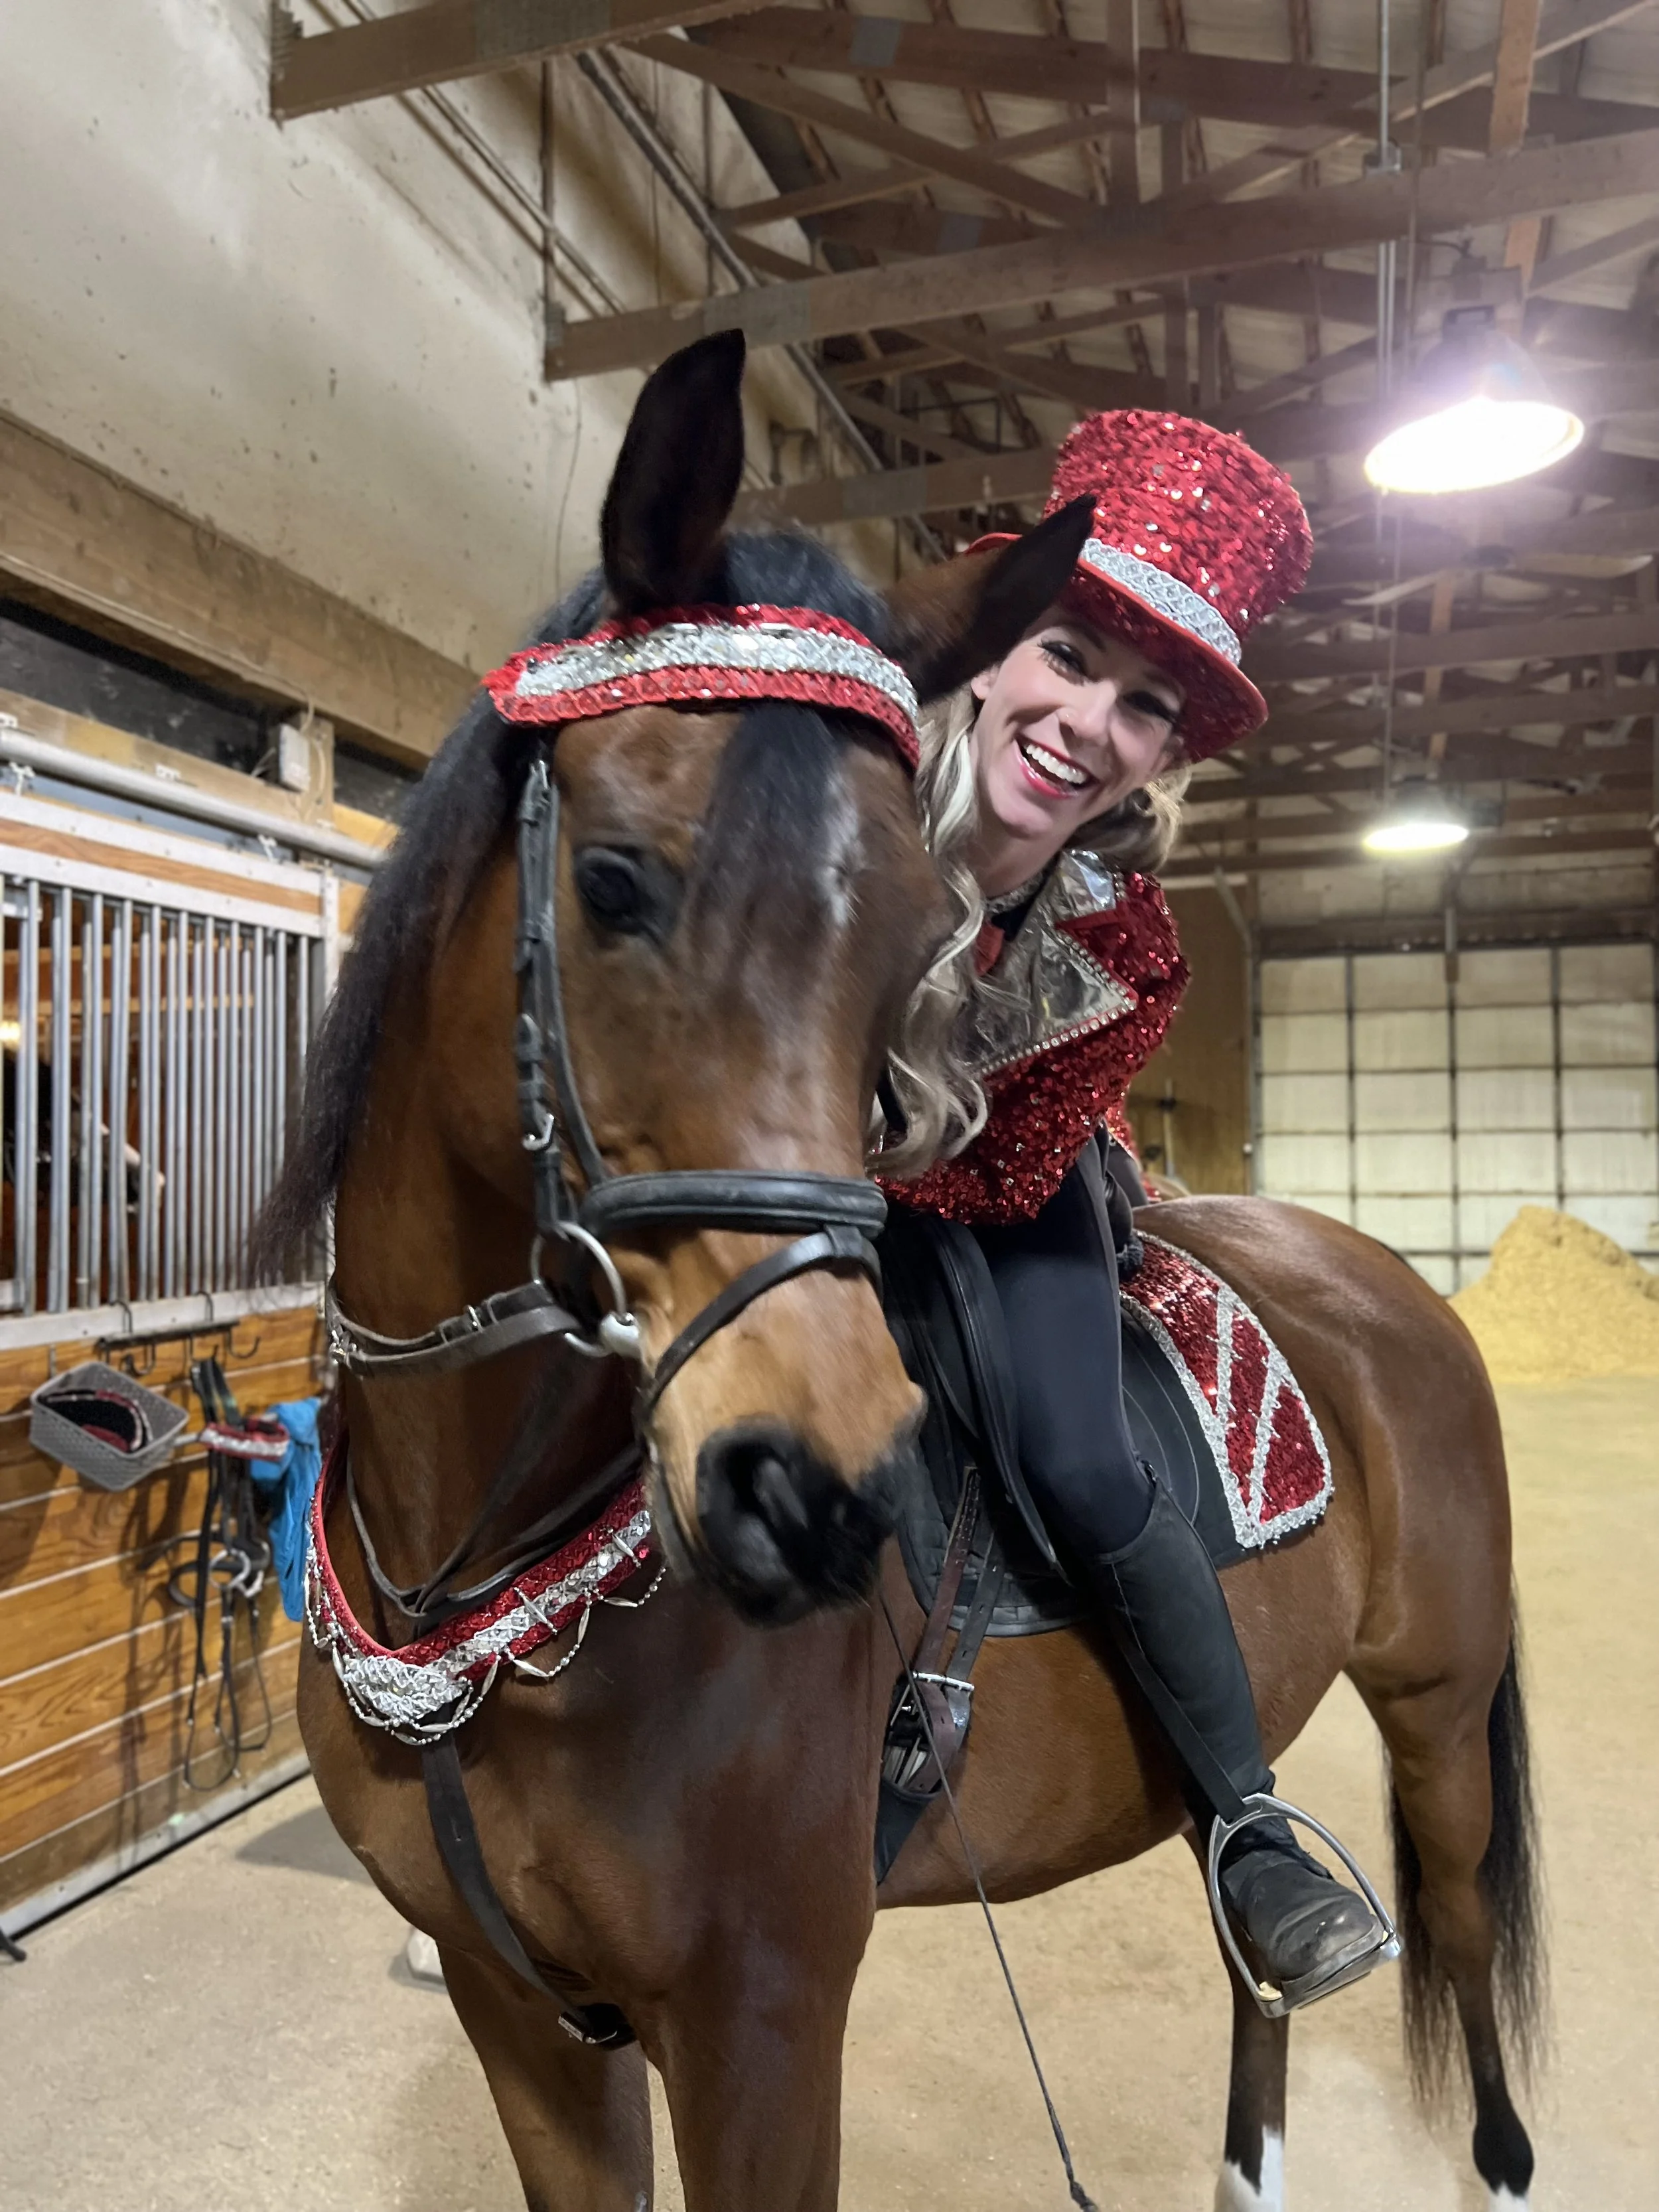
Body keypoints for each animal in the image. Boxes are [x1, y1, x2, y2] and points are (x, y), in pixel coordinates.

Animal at [260, 332, 1542, 2212]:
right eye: (615, 881)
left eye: (902, 949)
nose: (817, 1488)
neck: (469, 1607)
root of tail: (1374, 1274)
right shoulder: (525, 2022)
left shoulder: (764, 2022)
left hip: (1437, 1711)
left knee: (1463, 1968)